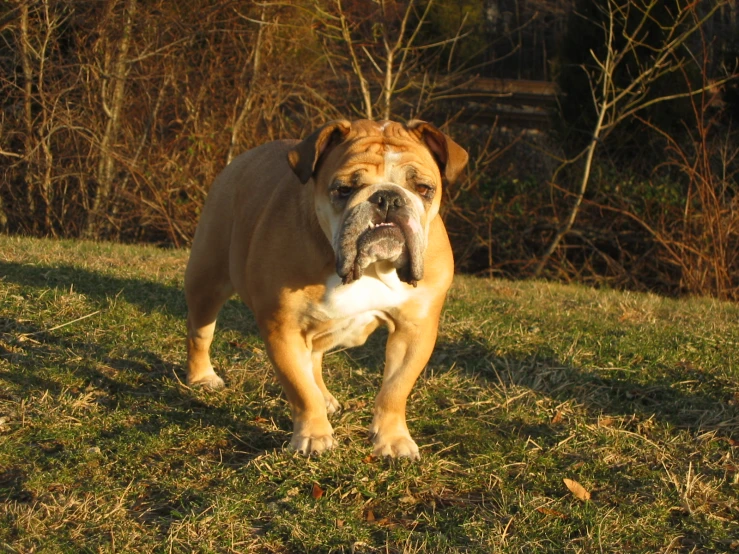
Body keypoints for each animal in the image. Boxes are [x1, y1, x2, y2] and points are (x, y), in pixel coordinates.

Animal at [184, 119, 468, 458]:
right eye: (344, 189)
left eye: (423, 189)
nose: (388, 198)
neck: (370, 269)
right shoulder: (283, 328)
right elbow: (300, 389)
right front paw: (313, 436)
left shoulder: (414, 330)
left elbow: (395, 389)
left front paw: (393, 440)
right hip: (207, 279)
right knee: (201, 331)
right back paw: (202, 377)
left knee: (314, 359)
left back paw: (326, 397)